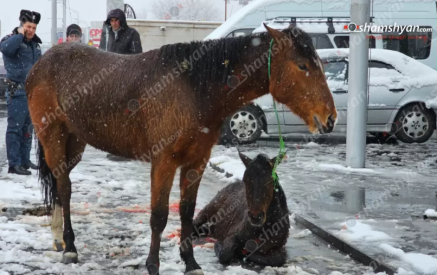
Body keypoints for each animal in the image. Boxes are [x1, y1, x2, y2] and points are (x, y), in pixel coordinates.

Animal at [25, 24, 336, 274]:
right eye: (302, 66)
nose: (330, 118)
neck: (195, 88)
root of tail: (42, 62)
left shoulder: (196, 161)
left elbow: (186, 212)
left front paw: (191, 262)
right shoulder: (163, 161)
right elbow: (159, 216)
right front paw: (153, 265)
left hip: (74, 142)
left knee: (59, 183)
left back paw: (58, 239)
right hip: (53, 137)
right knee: (65, 188)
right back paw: (69, 247)